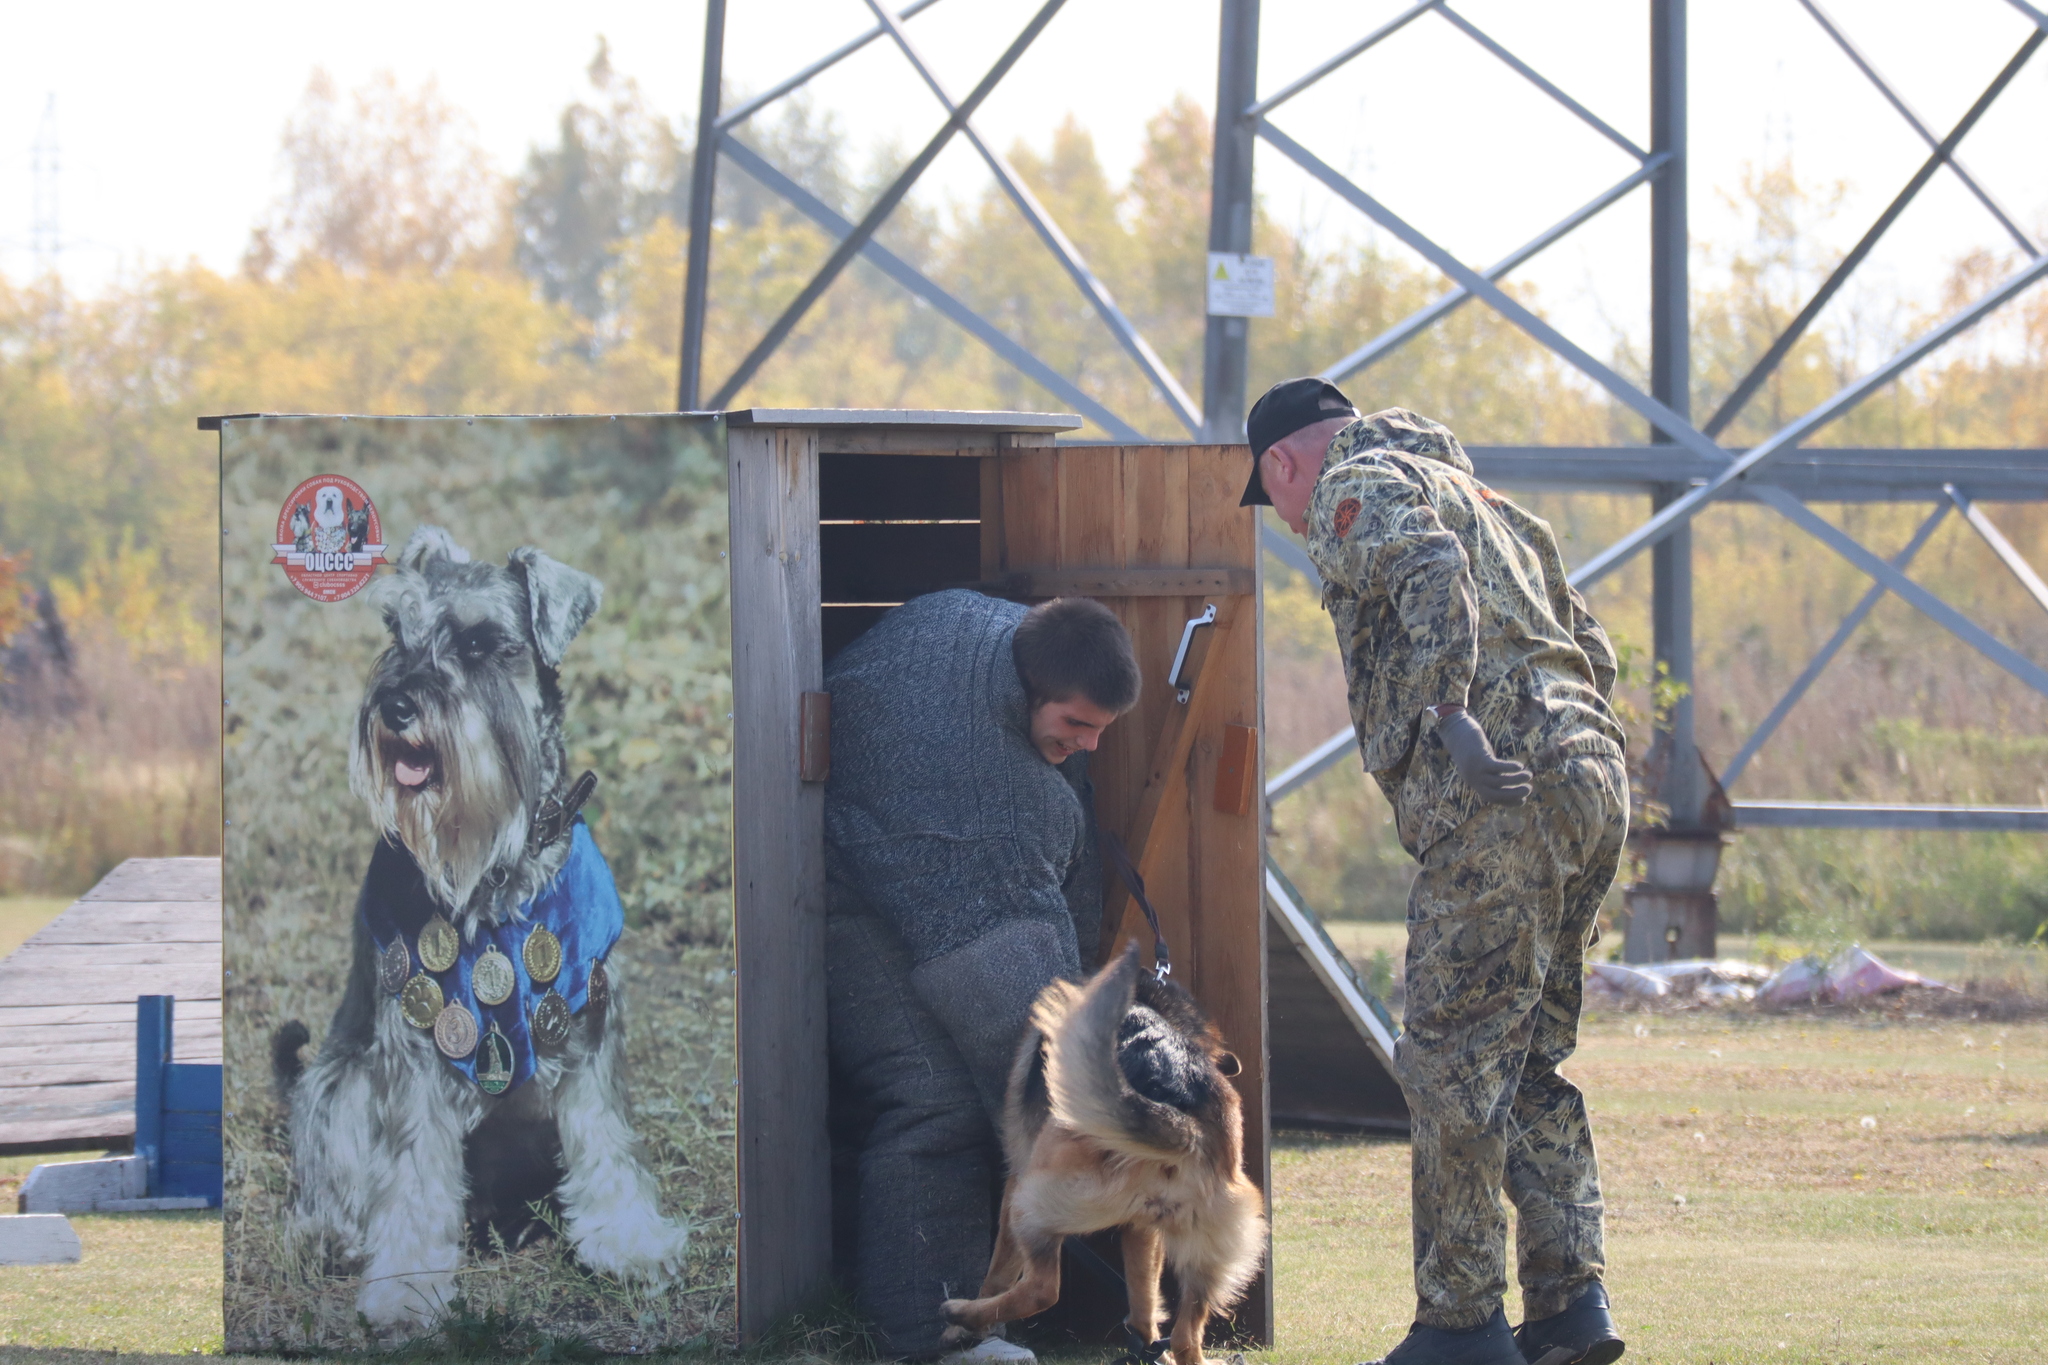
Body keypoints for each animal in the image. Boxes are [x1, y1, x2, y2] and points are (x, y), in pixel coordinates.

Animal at [937, 945, 1261, 1365]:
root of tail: (1182, 1119)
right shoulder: (1142, 1229)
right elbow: (1144, 1299)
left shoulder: (1015, 1181)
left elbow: (998, 1273)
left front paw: (966, 1331)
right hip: (1207, 1254)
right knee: (1184, 1337)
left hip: (1031, 1199)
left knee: (1043, 1289)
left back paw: (960, 1314)